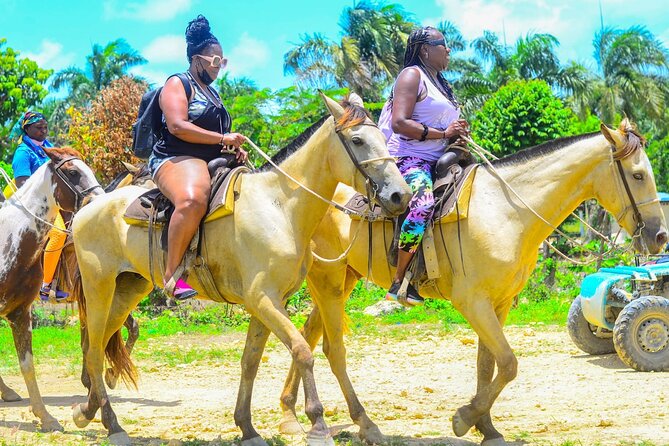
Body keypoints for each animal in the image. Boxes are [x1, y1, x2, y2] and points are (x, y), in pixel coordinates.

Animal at [69, 95, 412, 446]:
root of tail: (87, 209)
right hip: (99, 288)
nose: (401, 195)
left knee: (97, 346)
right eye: (357, 140)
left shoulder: (269, 302)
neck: (279, 207)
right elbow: (302, 351)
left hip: (128, 289)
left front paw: (247, 427)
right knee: (93, 350)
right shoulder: (263, 298)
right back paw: (113, 425)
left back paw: (88, 411)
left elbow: (250, 361)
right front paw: (317, 424)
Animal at [278, 120, 668, 444]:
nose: (660, 237)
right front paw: (464, 418)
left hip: (342, 279)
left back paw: (290, 416)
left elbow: (488, 364)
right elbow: (508, 363)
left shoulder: (498, 302)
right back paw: (359, 423)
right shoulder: (473, 301)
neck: (507, 210)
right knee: (329, 348)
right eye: (637, 175)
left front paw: (487, 427)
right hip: (327, 279)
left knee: (308, 336)